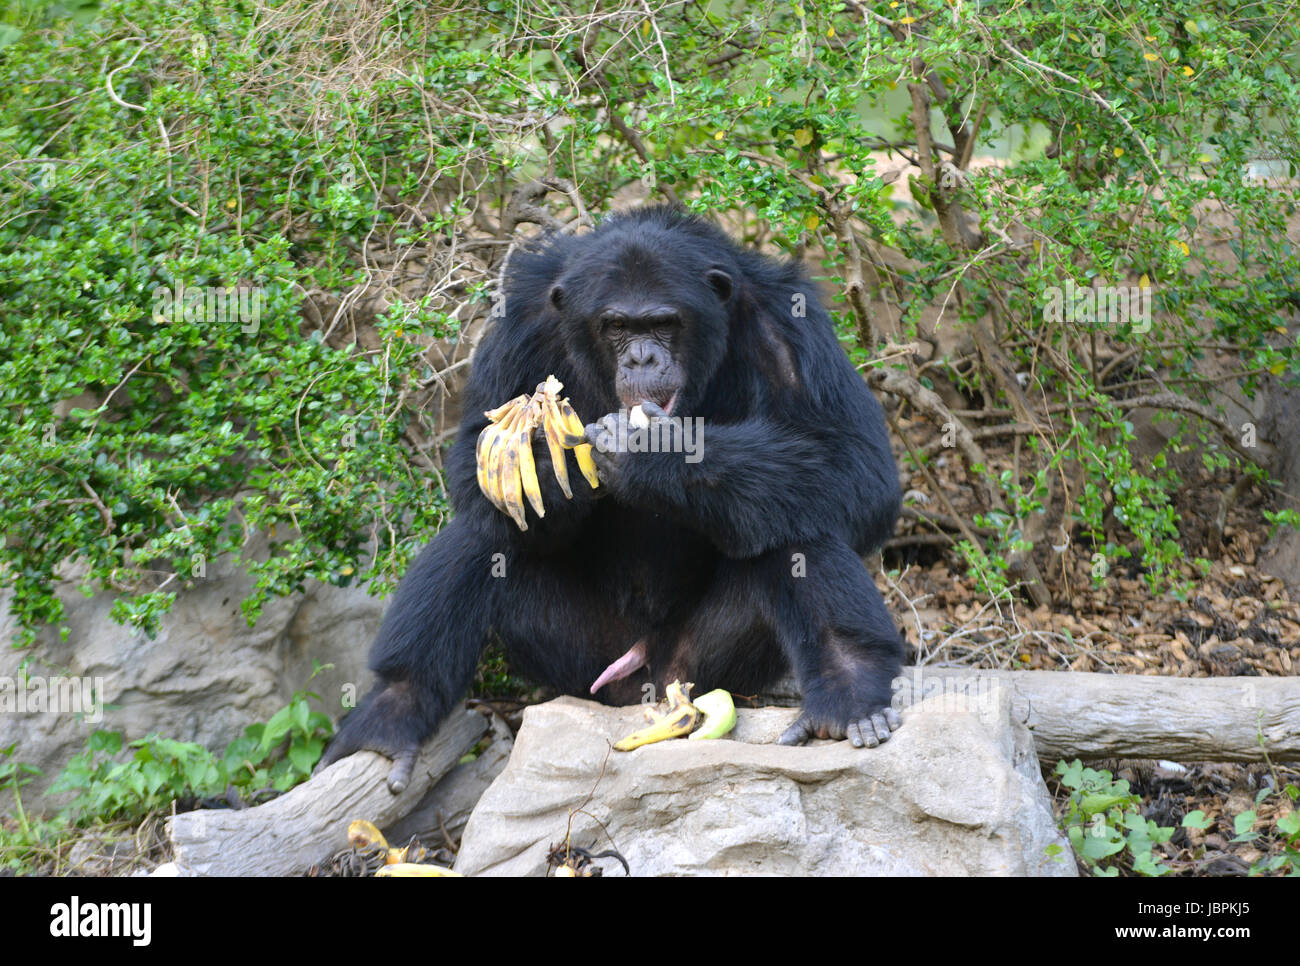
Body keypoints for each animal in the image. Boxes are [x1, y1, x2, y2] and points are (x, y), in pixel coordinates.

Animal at [319, 208, 904, 790]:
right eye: (618, 326)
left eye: (664, 323)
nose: (643, 356)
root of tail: (639, 678)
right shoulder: (518, 323)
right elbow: (471, 457)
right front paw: (547, 469)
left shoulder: (788, 325)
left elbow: (854, 463)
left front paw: (653, 453)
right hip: (579, 664)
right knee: (483, 533)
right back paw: (390, 716)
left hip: (704, 666)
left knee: (793, 518)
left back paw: (849, 696)